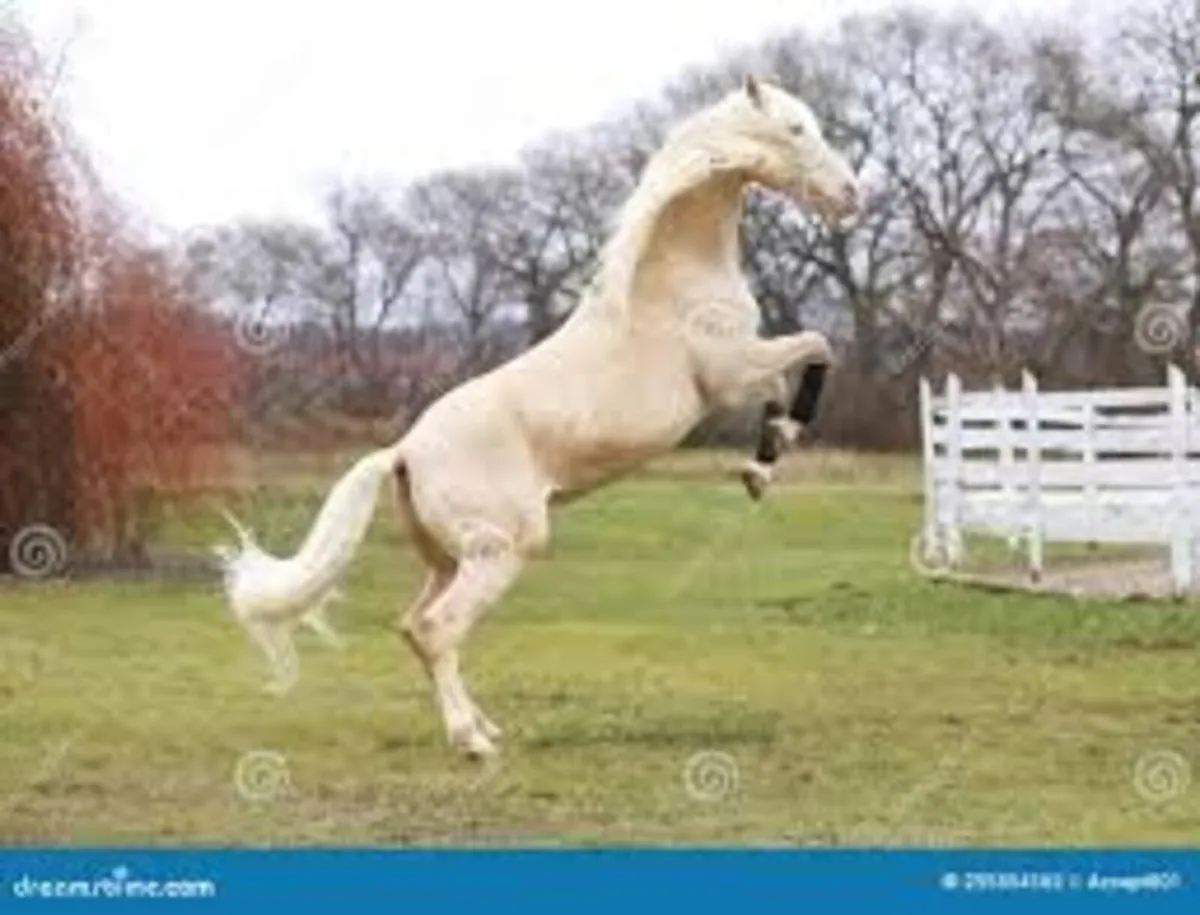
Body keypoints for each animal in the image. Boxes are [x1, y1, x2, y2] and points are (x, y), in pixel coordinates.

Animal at [215, 75, 861, 759]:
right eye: (795, 129)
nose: (852, 195)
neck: (671, 273)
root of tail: (406, 451)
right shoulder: (729, 373)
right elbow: (818, 345)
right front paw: (772, 452)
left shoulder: (742, 372)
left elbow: (786, 382)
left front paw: (762, 463)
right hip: (500, 550)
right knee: (439, 629)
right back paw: (473, 743)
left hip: (451, 558)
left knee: (414, 627)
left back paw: (483, 727)